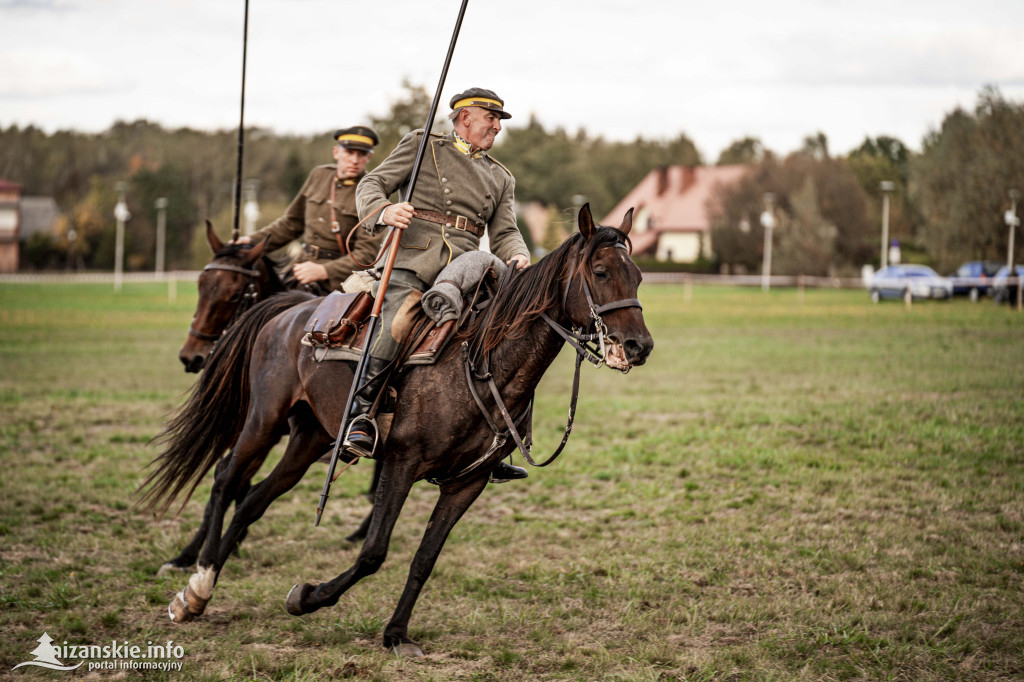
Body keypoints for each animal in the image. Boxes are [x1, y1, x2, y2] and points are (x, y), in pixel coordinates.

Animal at [142, 204, 655, 655]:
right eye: (601, 272)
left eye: (637, 276)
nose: (639, 345)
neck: (482, 365)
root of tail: (288, 311)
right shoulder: (401, 463)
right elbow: (374, 551)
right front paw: (307, 598)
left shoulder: (467, 483)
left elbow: (424, 559)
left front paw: (395, 634)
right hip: (263, 423)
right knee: (227, 479)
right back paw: (196, 586)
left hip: (309, 439)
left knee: (253, 499)